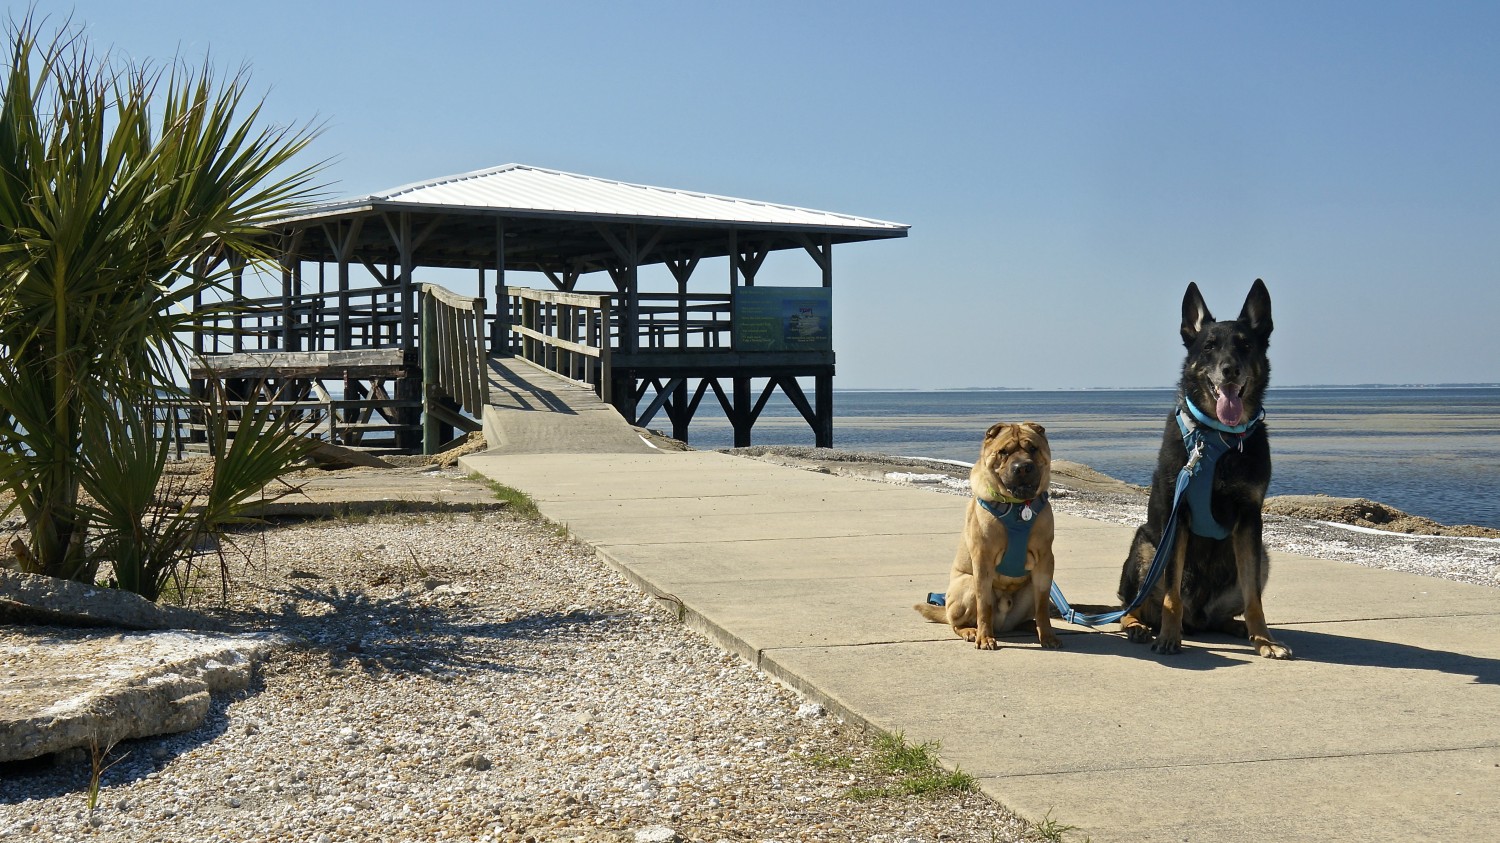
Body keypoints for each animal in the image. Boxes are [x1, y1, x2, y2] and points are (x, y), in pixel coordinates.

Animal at [918, 420, 1062, 651]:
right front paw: (985, 638)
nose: (1022, 467)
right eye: (1003, 452)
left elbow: (1042, 607)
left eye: (1032, 448)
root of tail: (1003, 624)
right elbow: (984, 606)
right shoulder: (983, 559)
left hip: (1030, 588)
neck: (1017, 507)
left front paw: (1047, 635)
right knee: (955, 622)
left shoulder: (1044, 562)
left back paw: (1032, 627)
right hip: (966, 586)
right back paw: (970, 631)